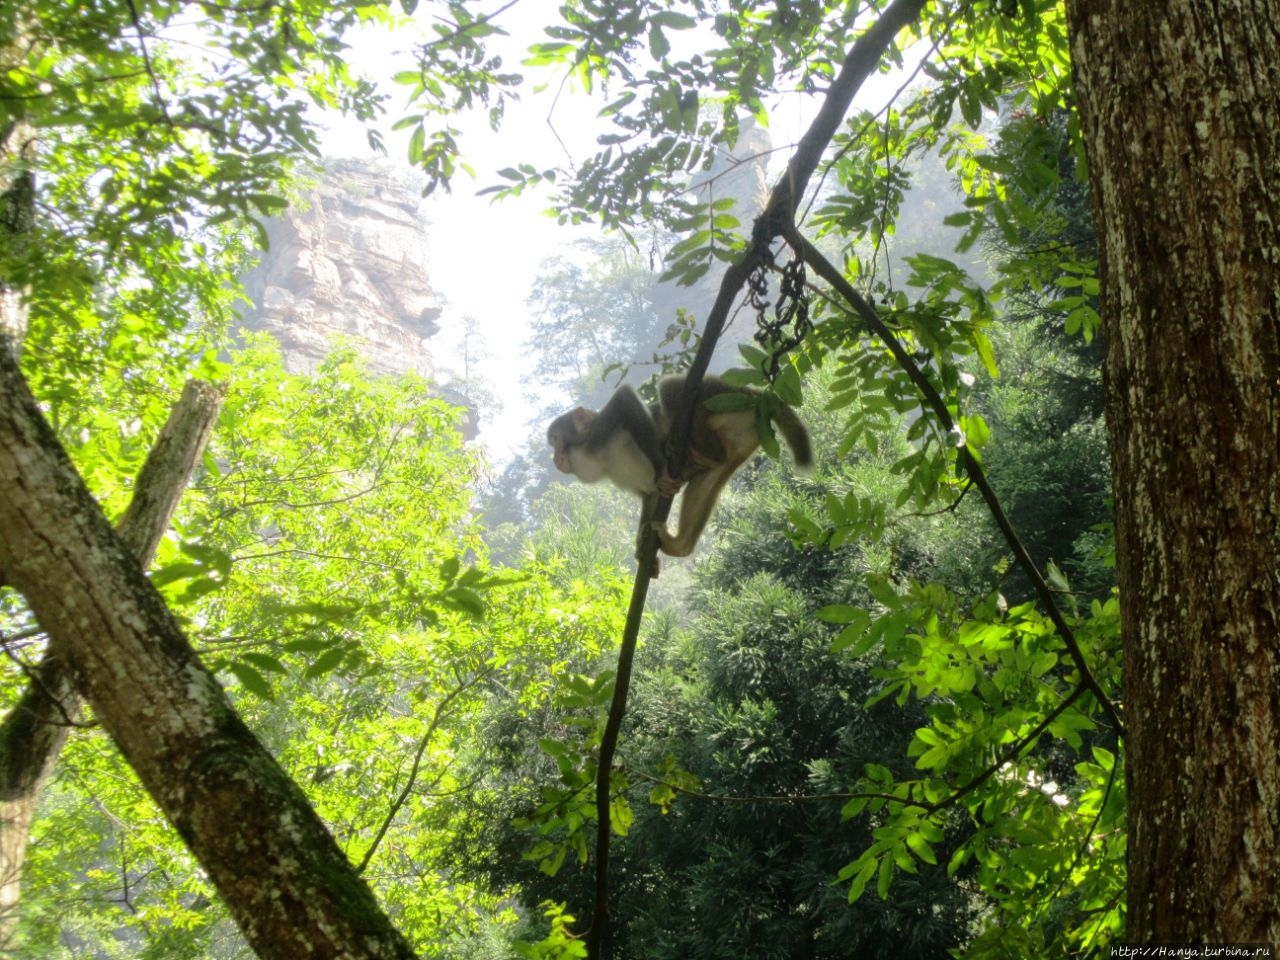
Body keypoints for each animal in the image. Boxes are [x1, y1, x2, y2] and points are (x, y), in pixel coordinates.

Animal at [547, 371, 808, 560]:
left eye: (556, 441)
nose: (555, 459)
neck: (602, 460)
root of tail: (757, 396)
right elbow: (650, 495)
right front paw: (642, 549)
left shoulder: (599, 433)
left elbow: (625, 400)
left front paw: (661, 468)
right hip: (742, 440)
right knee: (707, 482)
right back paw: (681, 544)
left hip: (719, 394)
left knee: (670, 387)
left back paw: (700, 450)